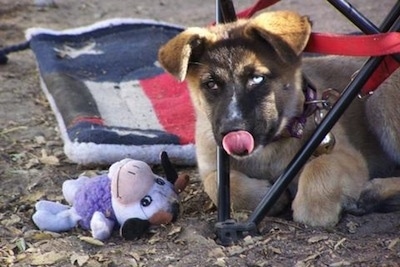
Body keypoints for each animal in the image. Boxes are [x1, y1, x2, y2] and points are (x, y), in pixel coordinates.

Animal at [159, 11, 400, 228]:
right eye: (211, 84)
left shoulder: (347, 156)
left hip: (381, 95)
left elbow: (321, 166)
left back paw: (374, 193)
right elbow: (215, 183)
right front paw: (266, 198)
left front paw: (316, 209)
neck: (268, 150)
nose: (234, 133)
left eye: (257, 78)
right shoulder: (210, 164)